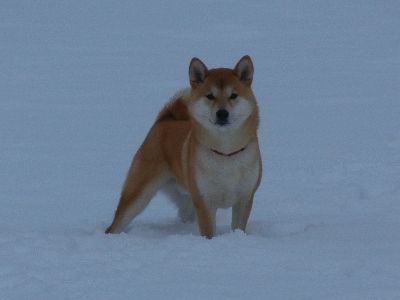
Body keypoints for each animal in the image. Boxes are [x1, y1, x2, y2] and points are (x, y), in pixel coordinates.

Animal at [105, 55, 262, 238]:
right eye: (210, 96)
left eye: (233, 95)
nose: (222, 113)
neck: (225, 152)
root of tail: (165, 120)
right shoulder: (204, 201)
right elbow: (208, 233)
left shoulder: (244, 198)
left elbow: (238, 228)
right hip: (138, 194)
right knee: (115, 224)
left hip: (186, 200)